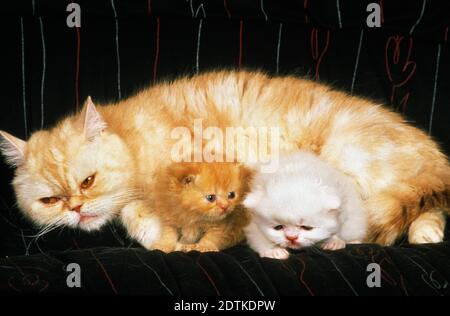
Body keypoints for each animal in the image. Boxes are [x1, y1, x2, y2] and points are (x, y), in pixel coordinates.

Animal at [0, 69, 450, 249]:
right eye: (50, 200)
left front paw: (165, 240)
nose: (76, 209)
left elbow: (145, 216)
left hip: (354, 166)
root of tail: (433, 153)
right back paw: (427, 235)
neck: (132, 136)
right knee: (425, 208)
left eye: (87, 181)